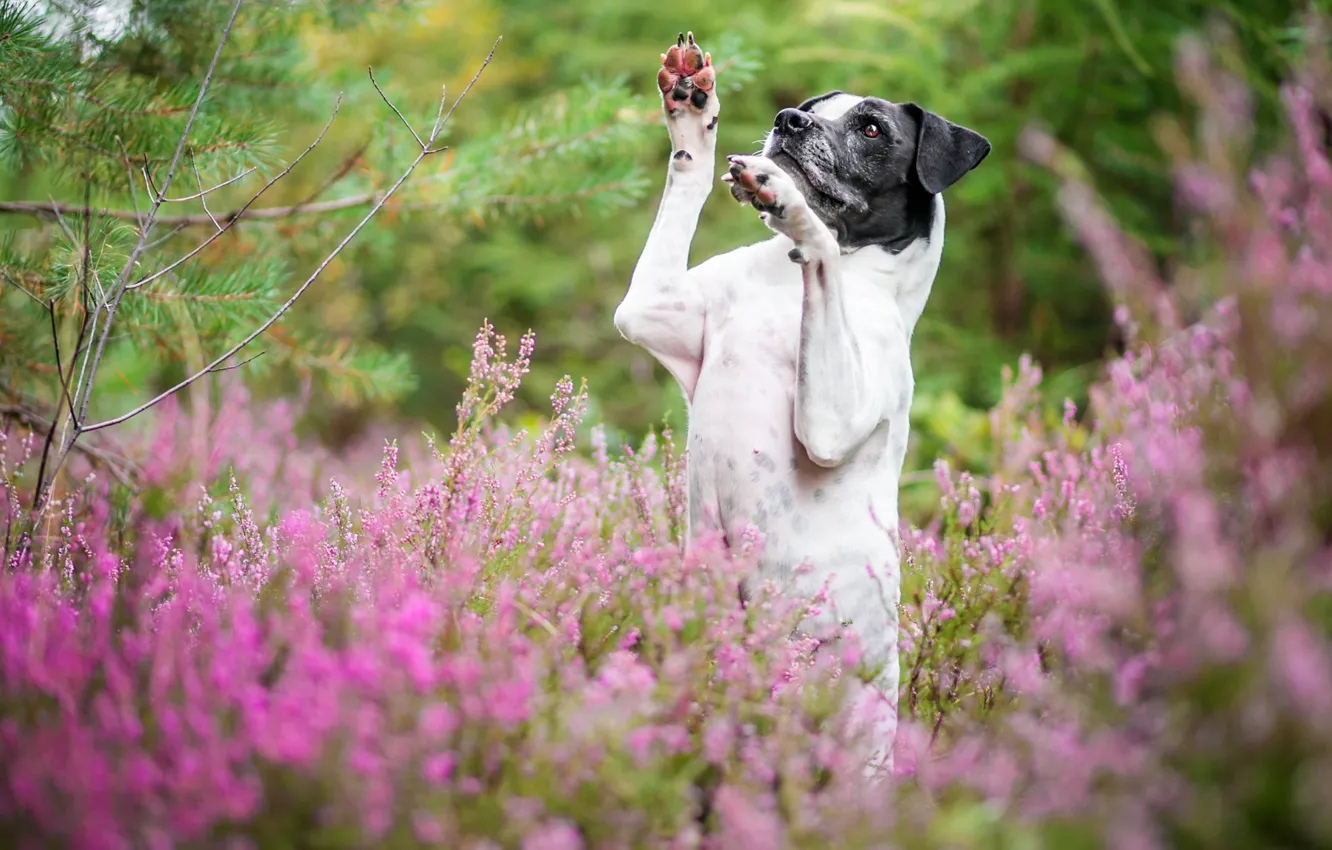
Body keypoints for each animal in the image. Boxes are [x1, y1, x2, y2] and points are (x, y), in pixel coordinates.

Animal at [612, 33, 991, 772]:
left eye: (871, 128)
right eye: (815, 109)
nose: (789, 122)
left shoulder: (830, 421)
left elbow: (817, 245)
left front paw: (791, 205)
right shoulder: (646, 311)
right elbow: (685, 176)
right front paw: (692, 113)